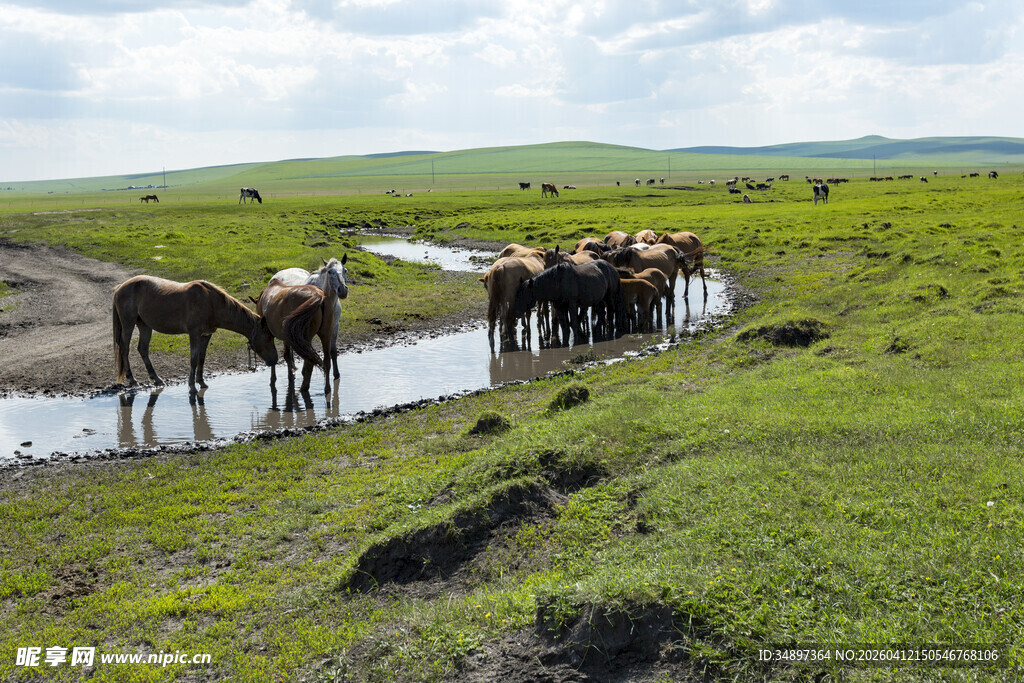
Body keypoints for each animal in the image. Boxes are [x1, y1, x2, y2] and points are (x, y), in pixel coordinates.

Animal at [112, 275, 278, 393]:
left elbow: (201, 358)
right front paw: (192, 386)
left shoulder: (206, 335)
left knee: (143, 349)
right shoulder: (194, 333)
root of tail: (120, 287)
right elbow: (193, 359)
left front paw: (201, 382)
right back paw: (132, 379)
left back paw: (157, 379)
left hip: (145, 326)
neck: (211, 302)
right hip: (128, 324)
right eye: (269, 337)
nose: (275, 360)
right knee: (125, 348)